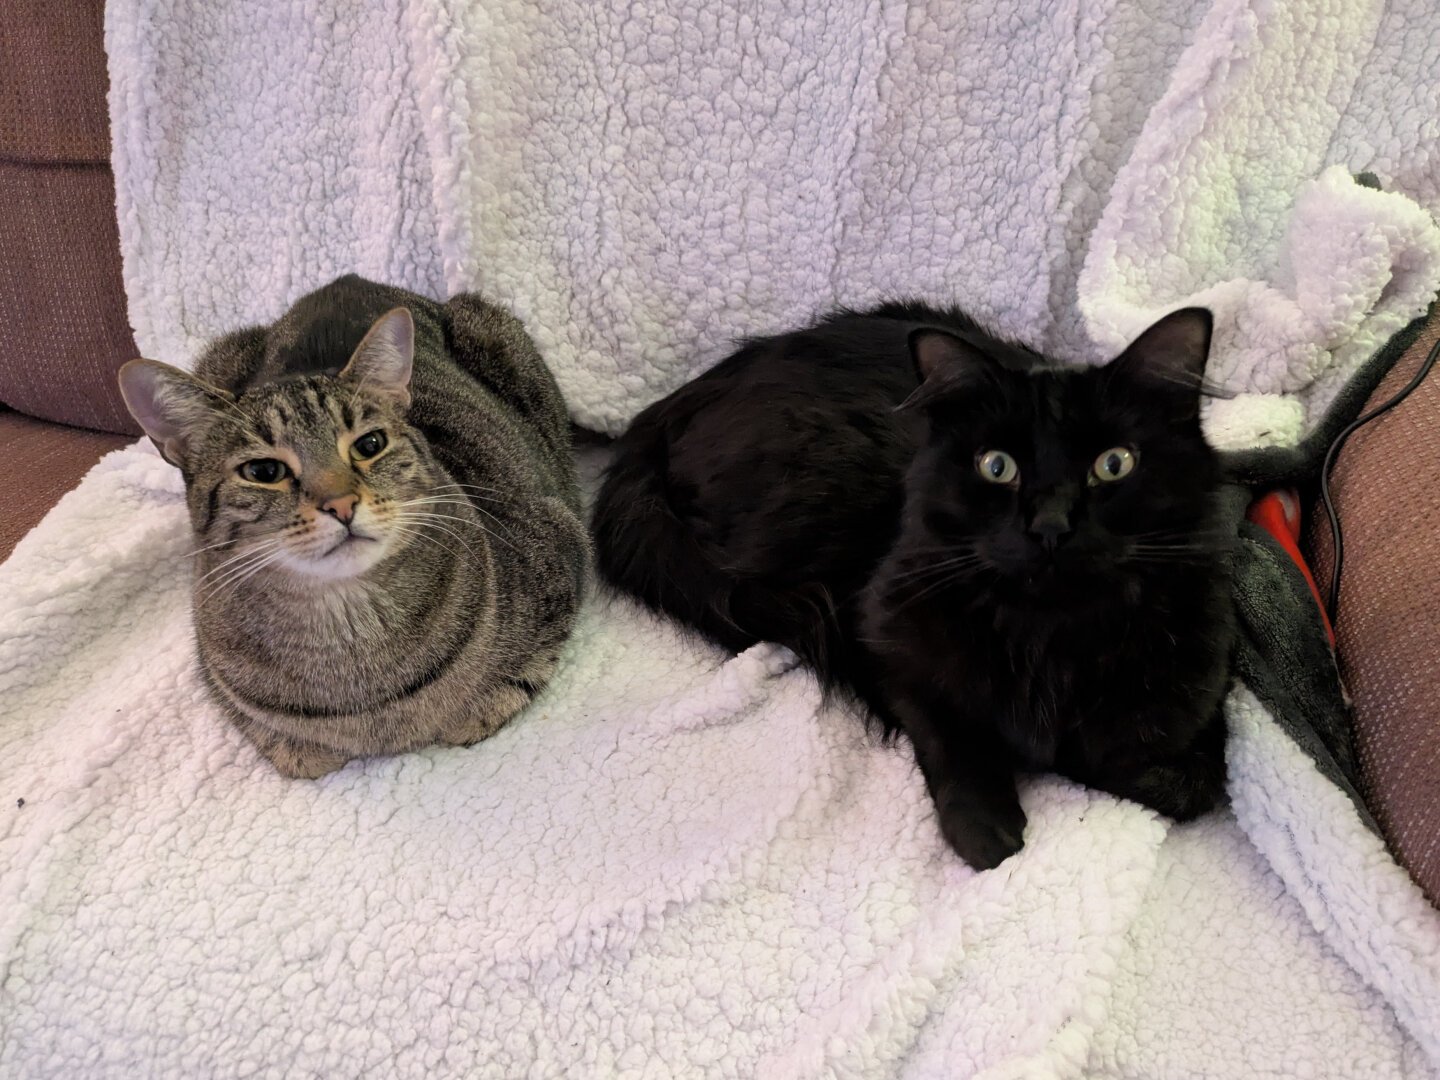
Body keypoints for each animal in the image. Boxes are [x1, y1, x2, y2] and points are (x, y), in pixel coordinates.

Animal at [119, 275, 584, 771]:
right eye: (263, 471)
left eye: (369, 444)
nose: (341, 504)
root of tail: (347, 281)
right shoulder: (218, 677)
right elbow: (279, 741)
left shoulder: (562, 542)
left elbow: (515, 680)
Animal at [590, 302, 1232, 869]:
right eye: (997, 467)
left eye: (1114, 464)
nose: (1050, 525)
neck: (1048, 633)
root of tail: (668, 408)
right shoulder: (888, 635)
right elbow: (946, 728)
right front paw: (985, 823)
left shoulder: (1200, 690)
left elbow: (1181, 778)